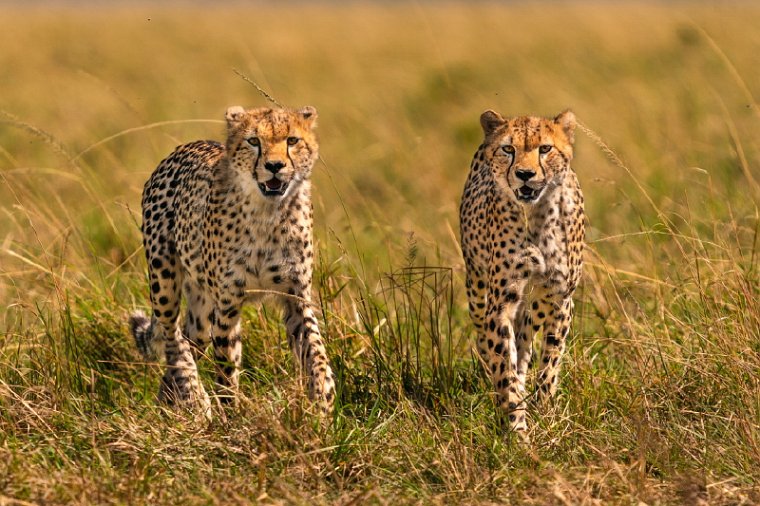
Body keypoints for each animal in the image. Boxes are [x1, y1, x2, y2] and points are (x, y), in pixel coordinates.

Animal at [130, 105, 336, 418]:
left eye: (292, 140)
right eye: (253, 141)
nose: (275, 165)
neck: (267, 213)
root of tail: (184, 147)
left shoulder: (296, 296)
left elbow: (316, 351)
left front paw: (323, 401)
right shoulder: (227, 304)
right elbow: (227, 368)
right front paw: (231, 417)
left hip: (202, 309)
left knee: (189, 337)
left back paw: (170, 399)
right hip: (164, 279)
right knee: (172, 336)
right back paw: (194, 395)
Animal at [458, 109, 588, 434]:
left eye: (545, 148)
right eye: (508, 149)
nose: (525, 174)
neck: (538, 216)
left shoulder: (560, 299)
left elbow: (550, 363)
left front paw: (546, 414)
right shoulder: (500, 304)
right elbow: (504, 364)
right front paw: (517, 428)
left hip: (535, 304)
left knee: (526, 339)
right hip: (478, 289)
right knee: (490, 341)